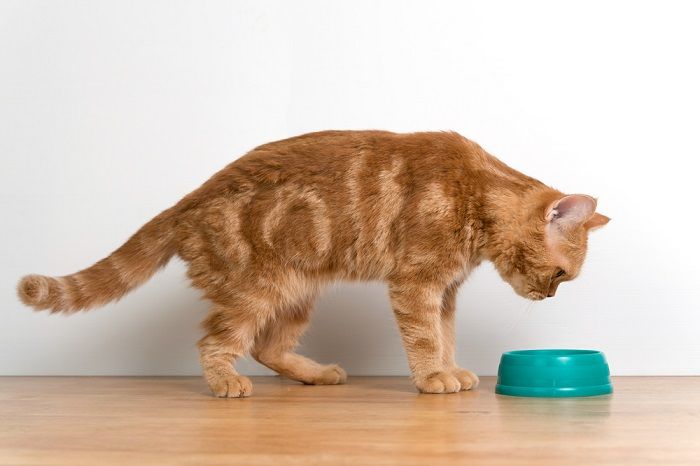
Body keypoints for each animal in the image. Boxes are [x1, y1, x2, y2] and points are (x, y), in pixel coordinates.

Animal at [15, 130, 608, 396]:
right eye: (561, 275)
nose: (548, 296)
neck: (476, 193)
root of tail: (185, 201)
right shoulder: (416, 284)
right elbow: (424, 339)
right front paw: (433, 377)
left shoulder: (444, 291)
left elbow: (446, 334)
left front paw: (451, 368)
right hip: (256, 291)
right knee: (216, 342)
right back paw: (226, 383)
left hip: (297, 294)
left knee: (267, 347)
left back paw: (317, 373)